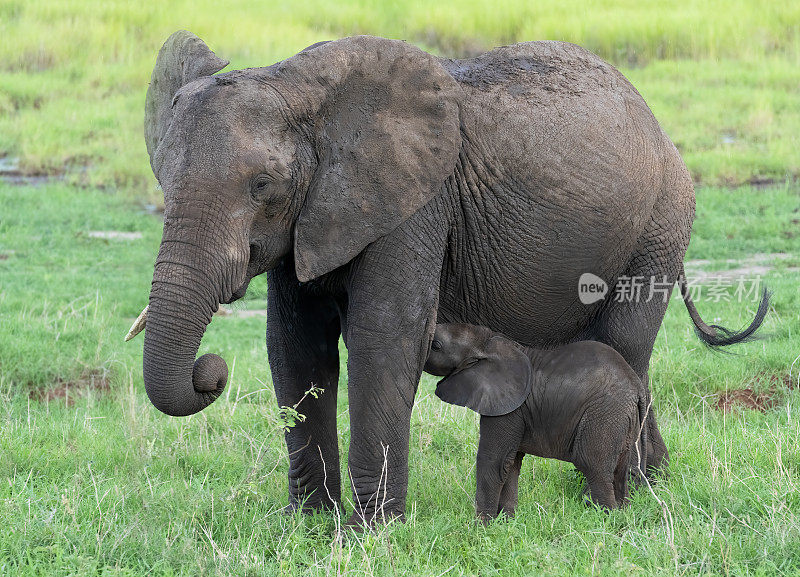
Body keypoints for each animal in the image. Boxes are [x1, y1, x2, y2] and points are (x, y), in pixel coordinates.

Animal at [424, 322, 644, 520]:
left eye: (436, 346)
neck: (487, 340)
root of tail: (637, 387)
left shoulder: (509, 407)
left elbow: (494, 461)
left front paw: (482, 527)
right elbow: (511, 463)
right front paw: (506, 522)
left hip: (604, 415)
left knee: (594, 466)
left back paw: (607, 521)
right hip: (622, 419)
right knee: (621, 470)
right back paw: (623, 516)